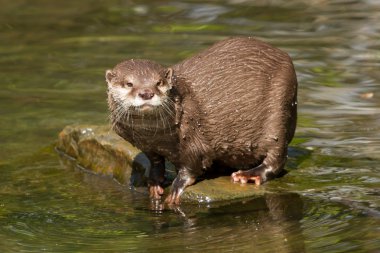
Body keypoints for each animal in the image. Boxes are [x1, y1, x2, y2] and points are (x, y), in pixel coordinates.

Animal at [105, 36, 298, 205]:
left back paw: (248, 175)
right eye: (129, 84)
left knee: (277, 157)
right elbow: (156, 162)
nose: (146, 93)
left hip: (280, 108)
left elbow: (192, 164)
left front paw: (177, 187)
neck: (155, 136)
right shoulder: (147, 146)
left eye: (158, 82)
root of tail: (285, 55)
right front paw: (154, 182)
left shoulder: (192, 135)